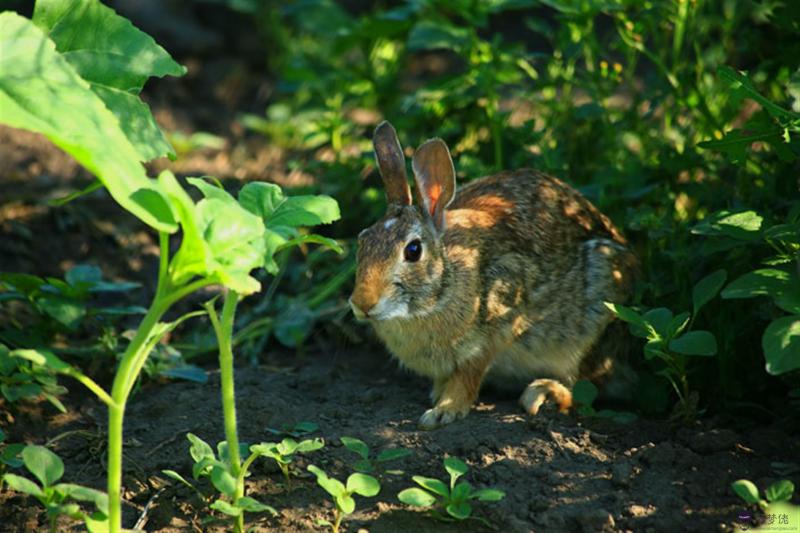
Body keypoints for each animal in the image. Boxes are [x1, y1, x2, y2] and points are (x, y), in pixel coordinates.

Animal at [350, 120, 636, 428]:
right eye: (363, 239)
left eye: (413, 251)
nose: (362, 303)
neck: (445, 285)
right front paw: (438, 395)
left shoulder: (495, 328)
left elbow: (468, 376)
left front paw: (443, 411)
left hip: (594, 319)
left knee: (586, 388)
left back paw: (542, 392)